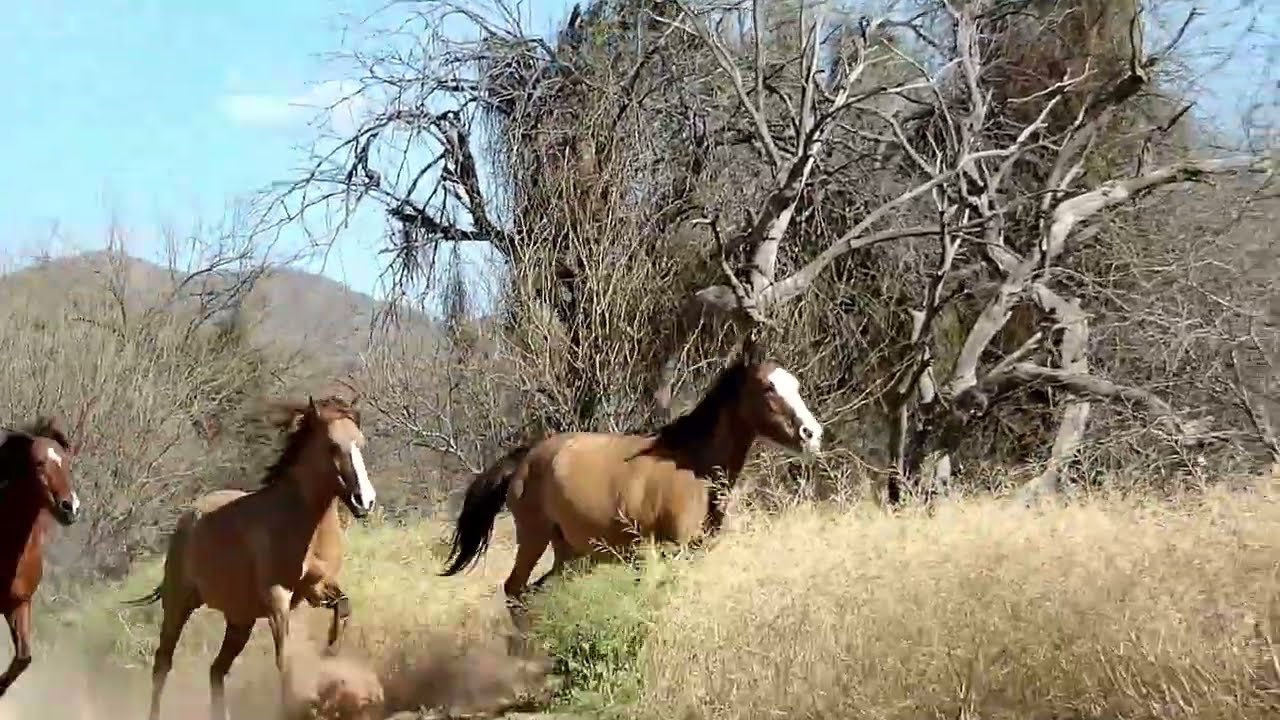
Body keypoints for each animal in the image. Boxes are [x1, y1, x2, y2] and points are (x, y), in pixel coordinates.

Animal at [123, 396, 376, 720]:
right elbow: (285, 661)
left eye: (361, 442)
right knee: (163, 663)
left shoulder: (315, 588)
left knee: (216, 670)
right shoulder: (277, 598)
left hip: (239, 620)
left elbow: (343, 607)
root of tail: (189, 516)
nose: (365, 501)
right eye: (333, 445)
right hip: (179, 603)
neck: (301, 520)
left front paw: (330, 652)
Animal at [439, 350, 824, 611]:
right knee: (514, 591)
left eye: (796, 385)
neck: (691, 466)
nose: (812, 434)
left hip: (571, 554)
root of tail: (527, 457)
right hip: (534, 539)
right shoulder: (664, 552)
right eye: (768, 387)